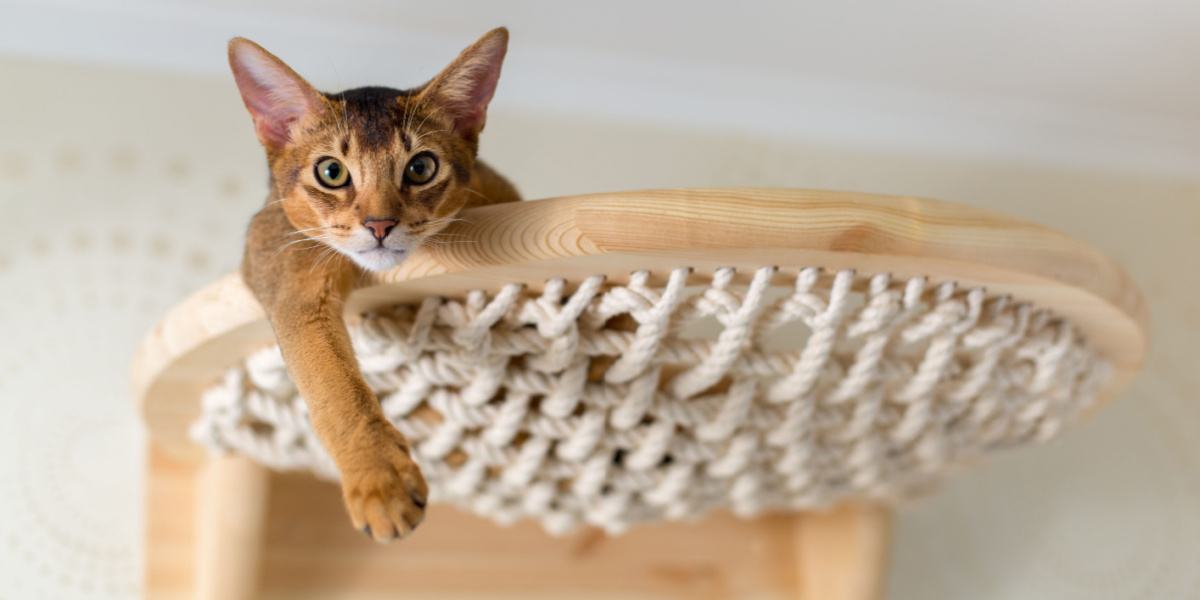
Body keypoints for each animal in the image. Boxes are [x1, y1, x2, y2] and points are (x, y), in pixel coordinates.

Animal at [229, 29, 520, 544]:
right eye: (331, 172)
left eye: (421, 168)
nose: (380, 225)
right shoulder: (286, 265)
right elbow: (332, 384)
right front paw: (380, 483)